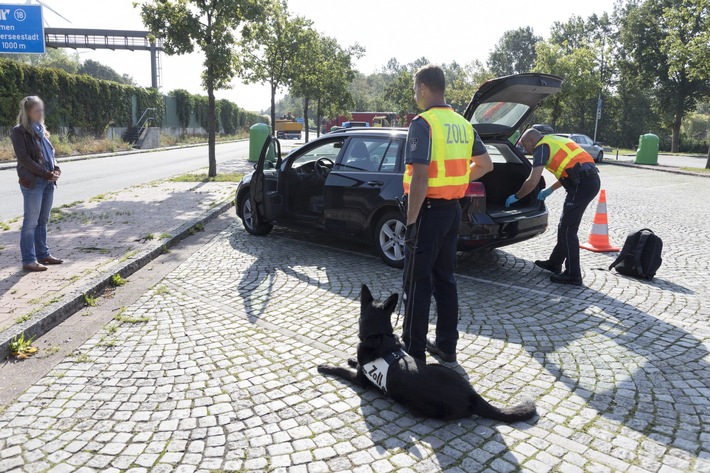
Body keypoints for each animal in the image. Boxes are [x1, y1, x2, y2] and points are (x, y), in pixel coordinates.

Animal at [318, 282, 540, 422]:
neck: (378, 335)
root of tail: (472, 395)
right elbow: (355, 363)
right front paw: (350, 359)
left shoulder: (359, 381)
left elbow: (341, 370)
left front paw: (327, 366)